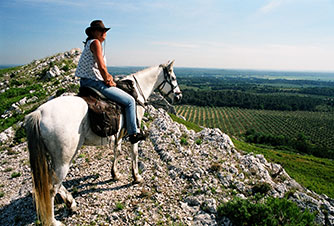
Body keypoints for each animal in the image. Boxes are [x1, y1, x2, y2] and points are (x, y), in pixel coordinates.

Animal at [24, 60, 181, 226]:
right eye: (173, 78)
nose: (179, 96)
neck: (136, 94)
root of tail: (39, 113)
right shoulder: (134, 130)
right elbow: (134, 152)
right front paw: (136, 177)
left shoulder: (119, 134)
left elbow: (117, 151)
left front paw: (115, 174)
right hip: (63, 160)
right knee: (52, 187)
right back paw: (55, 220)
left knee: (54, 182)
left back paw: (71, 203)